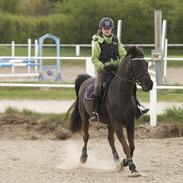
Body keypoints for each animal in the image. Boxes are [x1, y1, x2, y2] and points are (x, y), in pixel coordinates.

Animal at [67, 46, 153, 176]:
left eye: (146, 63)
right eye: (136, 64)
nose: (149, 84)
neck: (121, 93)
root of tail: (86, 80)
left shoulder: (129, 123)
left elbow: (131, 146)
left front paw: (125, 162)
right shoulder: (117, 124)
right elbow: (125, 146)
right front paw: (132, 167)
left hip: (109, 123)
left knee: (110, 139)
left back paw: (117, 161)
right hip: (86, 119)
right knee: (86, 136)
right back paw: (83, 157)